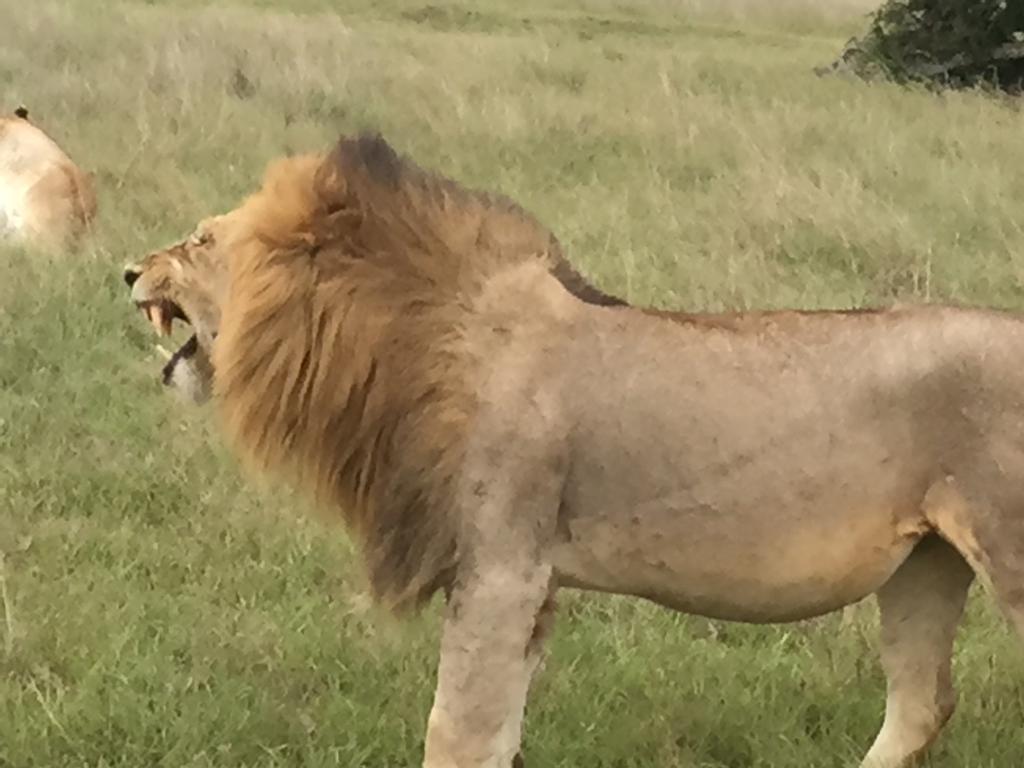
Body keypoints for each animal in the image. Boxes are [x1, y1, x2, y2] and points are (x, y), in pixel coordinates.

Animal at [124, 134, 1024, 768]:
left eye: (200, 241)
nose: (129, 270)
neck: (422, 341)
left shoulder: (499, 570)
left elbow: (455, 731)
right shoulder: (534, 587)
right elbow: (499, 733)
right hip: (924, 566)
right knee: (921, 704)